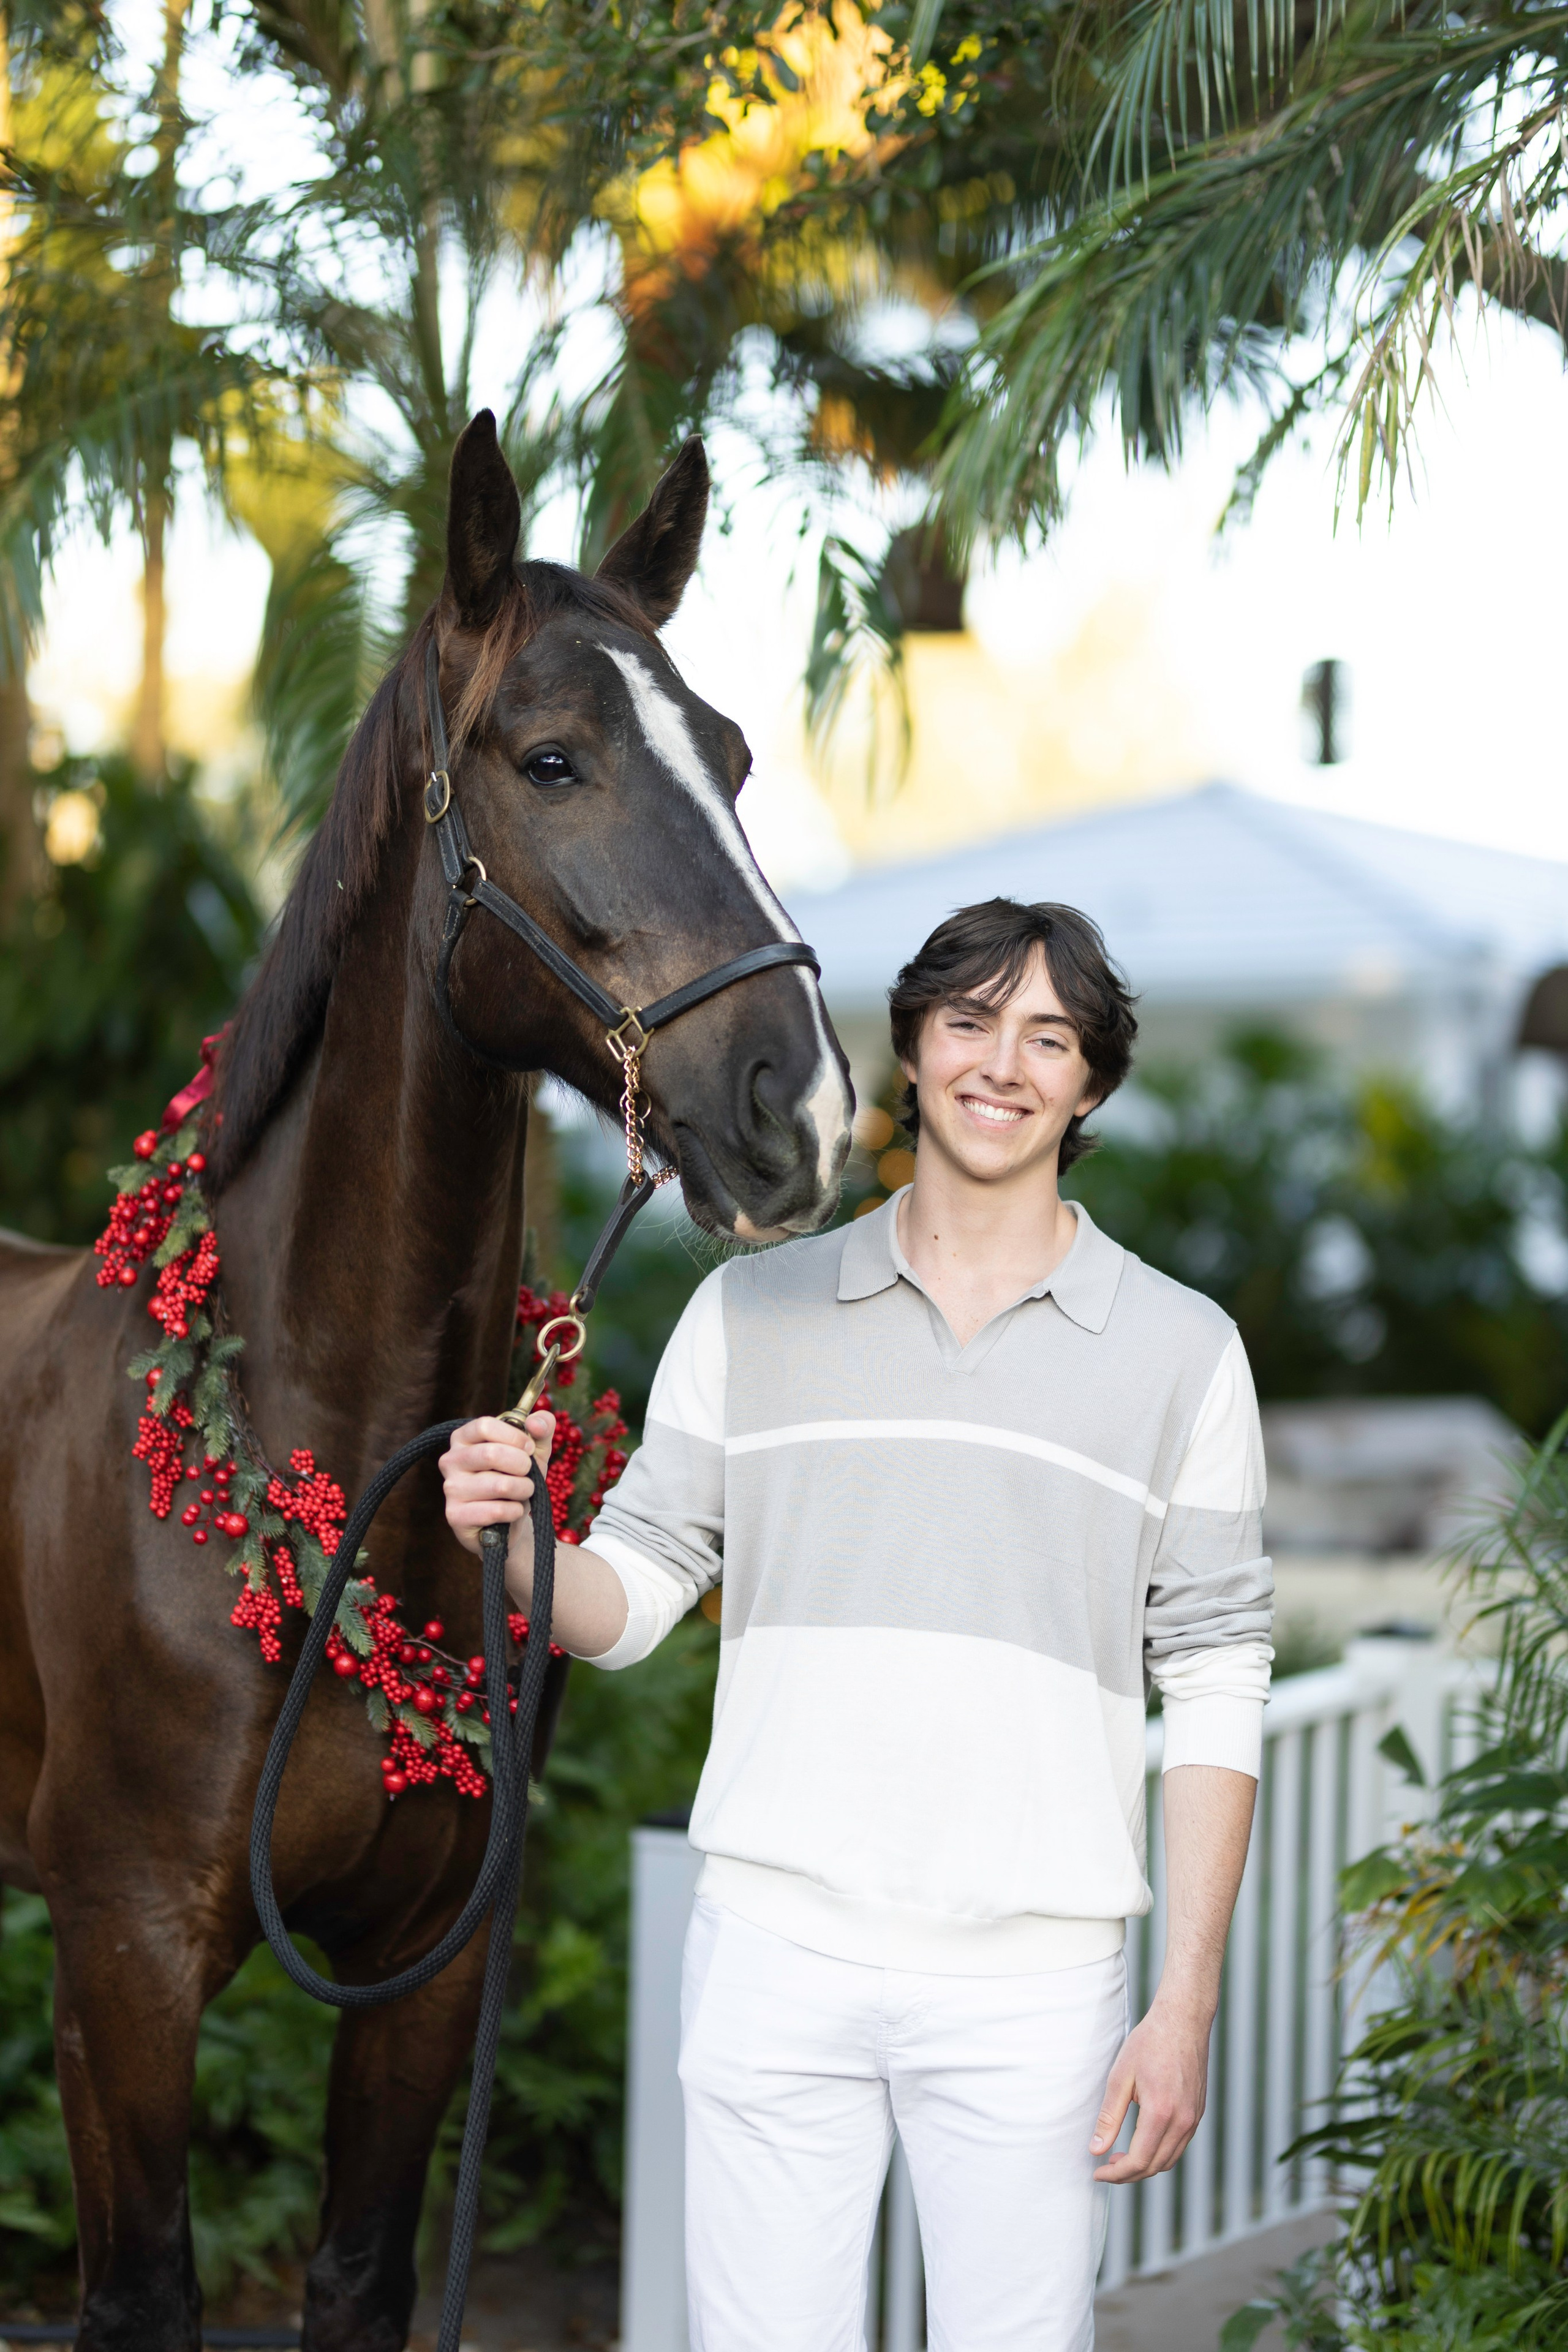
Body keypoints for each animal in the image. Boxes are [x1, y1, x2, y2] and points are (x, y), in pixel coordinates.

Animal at [0, 411, 853, 2352]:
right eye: (548, 758)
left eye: (735, 753)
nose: (801, 1107)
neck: (305, 1492)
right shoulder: (124, 1965)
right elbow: (140, 2293)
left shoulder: (423, 1971)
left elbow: (363, 2277)